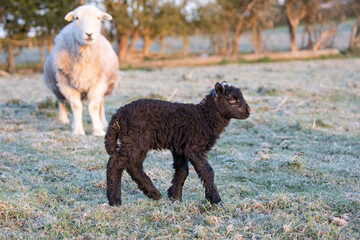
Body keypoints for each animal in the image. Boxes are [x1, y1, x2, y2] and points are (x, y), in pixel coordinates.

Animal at [43, 5, 119, 136]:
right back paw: (64, 120)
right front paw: (78, 130)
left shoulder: (98, 82)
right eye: (76, 18)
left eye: (98, 18)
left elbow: (94, 106)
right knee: (61, 101)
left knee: (101, 103)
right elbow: (76, 106)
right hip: (56, 85)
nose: (89, 34)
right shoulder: (66, 84)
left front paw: (98, 130)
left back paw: (103, 122)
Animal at [104, 81, 250, 205]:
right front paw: (215, 200)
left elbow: (182, 170)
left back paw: (153, 193)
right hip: (135, 139)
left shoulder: (180, 147)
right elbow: (207, 171)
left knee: (133, 165)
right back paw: (115, 200)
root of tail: (119, 113)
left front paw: (175, 196)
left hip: (138, 142)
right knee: (116, 161)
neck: (205, 116)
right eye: (232, 99)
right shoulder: (193, 147)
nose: (248, 111)